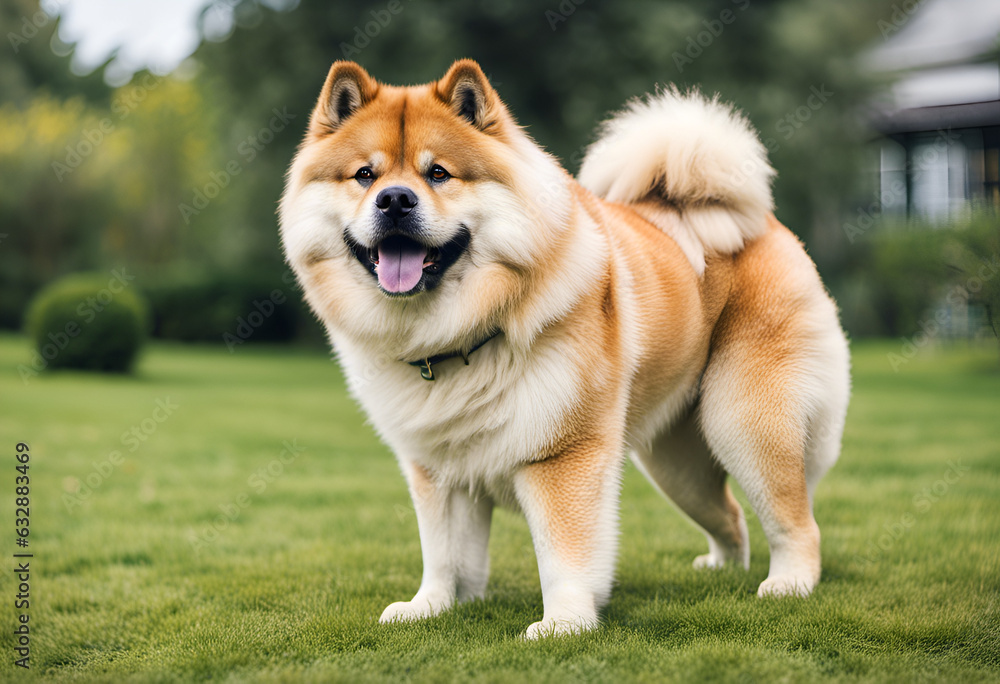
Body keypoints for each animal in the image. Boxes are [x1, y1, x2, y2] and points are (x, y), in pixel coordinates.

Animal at [280, 60, 852, 640]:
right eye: (364, 175)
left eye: (438, 173)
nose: (395, 199)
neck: (459, 338)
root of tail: (761, 223)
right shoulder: (438, 470)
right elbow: (444, 553)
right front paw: (431, 607)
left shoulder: (560, 456)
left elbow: (564, 554)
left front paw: (563, 623)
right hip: (677, 464)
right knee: (730, 516)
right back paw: (721, 571)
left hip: (744, 426)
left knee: (796, 521)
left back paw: (788, 584)